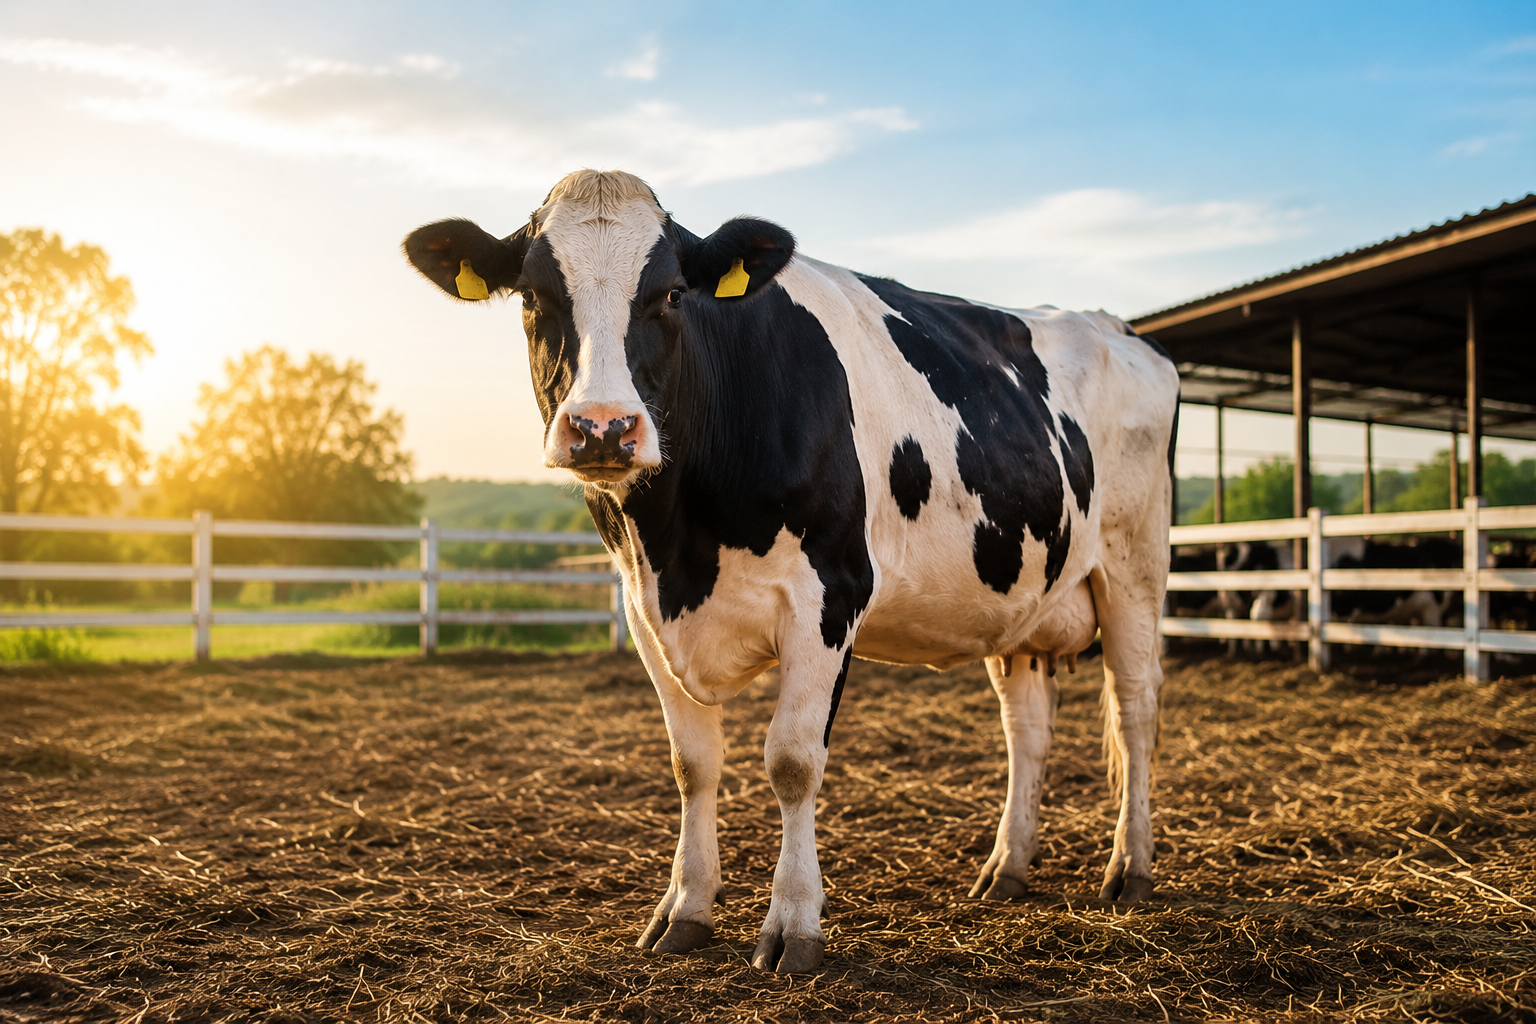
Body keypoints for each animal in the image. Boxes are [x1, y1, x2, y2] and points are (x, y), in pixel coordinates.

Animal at [402, 169, 1180, 973]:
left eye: (672, 293)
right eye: (532, 296)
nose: (604, 428)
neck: (681, 545)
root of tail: (1122, 329)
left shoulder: (829, 595)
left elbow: (793, 761)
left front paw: (794, 923)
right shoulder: (642, 609)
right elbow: (692, 763)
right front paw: (685, 909)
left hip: (1134, 564)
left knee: (1136, 708)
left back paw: (1130, 868)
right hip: (1024, 589)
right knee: (1026, 725)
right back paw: (1007, 868)